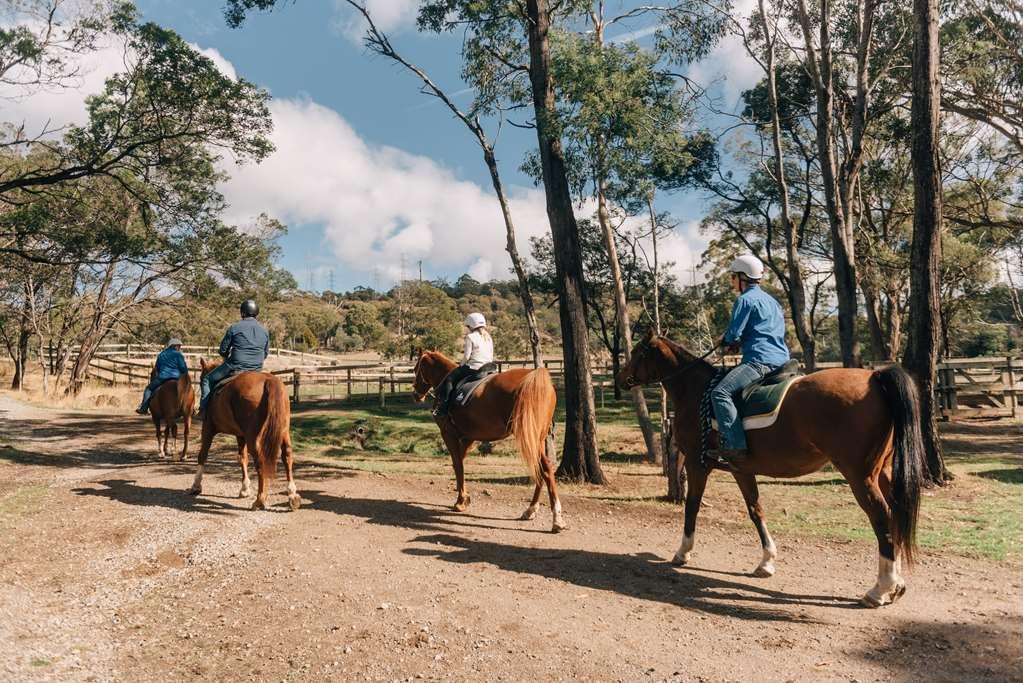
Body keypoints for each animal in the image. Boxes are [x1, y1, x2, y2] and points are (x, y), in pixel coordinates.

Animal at [188, 357, 298, 511]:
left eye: (201, 378)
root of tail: (268, 380)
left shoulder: (208, 428)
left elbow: (202, 455)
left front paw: (196, 486)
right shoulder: (240, 435)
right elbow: (242, 458)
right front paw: (245, 489)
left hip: (253, 437)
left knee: (260, 460)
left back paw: (260, 500)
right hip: (283, 431)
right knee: (287, 455)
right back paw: (292, 495)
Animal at [409, 349, 568, 531]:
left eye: (416, 368)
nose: (415, 394)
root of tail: (534, 379)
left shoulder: (449, 434)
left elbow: (457, 465)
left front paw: (461, 501)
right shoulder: (468, 438)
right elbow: (460, 464)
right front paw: (465, 497)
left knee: (545, 469)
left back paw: (556, 519)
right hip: (536, 438)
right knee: (541, 468)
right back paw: (531, 510)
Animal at [613, 333, 928, 605]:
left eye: (637, 351)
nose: (620, 379)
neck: (696, 391)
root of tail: (874, 377)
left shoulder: (695, 463)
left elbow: (692, 506)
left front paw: (682, 552)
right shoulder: (741, 469)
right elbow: (756, 510)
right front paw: (766, 562)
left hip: (860, 476)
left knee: (882, 518)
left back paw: (880, 589)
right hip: (884, 473)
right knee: (895, 515)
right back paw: (896, 584)